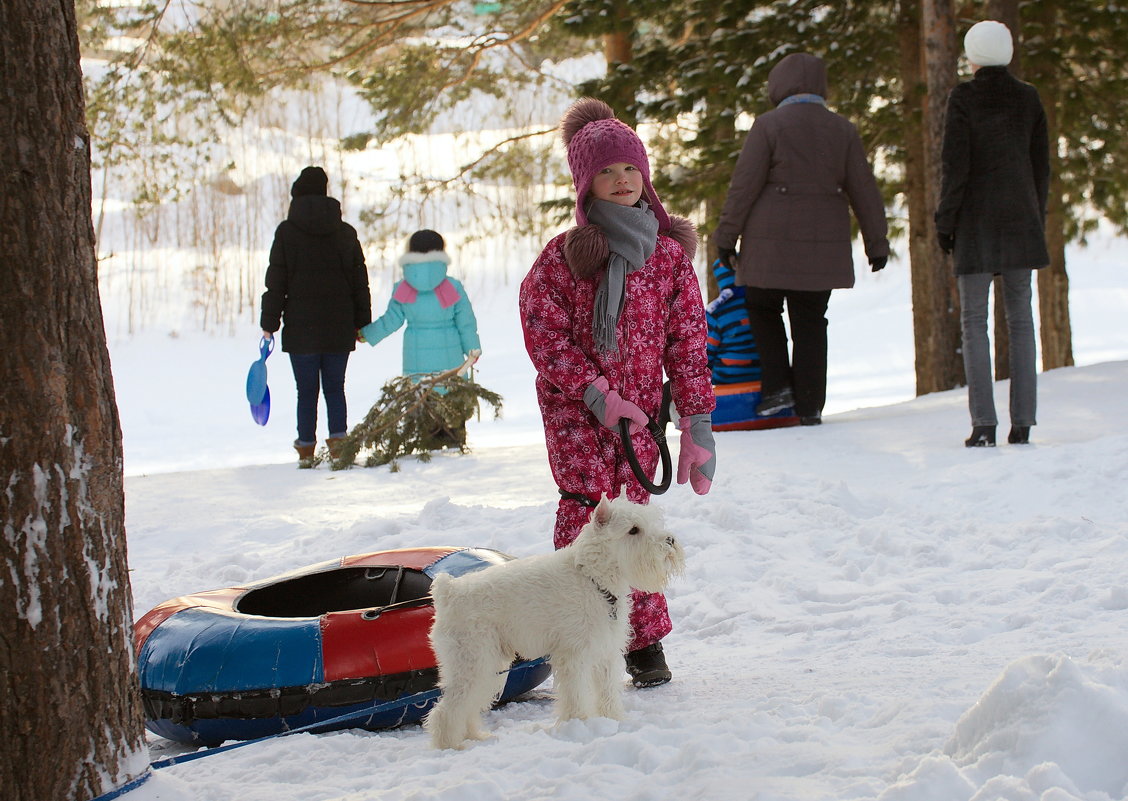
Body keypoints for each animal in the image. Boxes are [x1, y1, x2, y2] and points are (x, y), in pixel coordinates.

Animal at [424, 496, 681, 753]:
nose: (670, 540)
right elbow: (576, 694)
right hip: (473, 662)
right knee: (446, 710)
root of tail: (448, 592)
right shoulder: (573, 656)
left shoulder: (605, 653)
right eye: (633, 530)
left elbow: (607, 692)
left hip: (489, 665)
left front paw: (613, 720)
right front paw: (580, 724)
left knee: (467, 706)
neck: (592, 577)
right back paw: (450, 746)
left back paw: (474, 737)